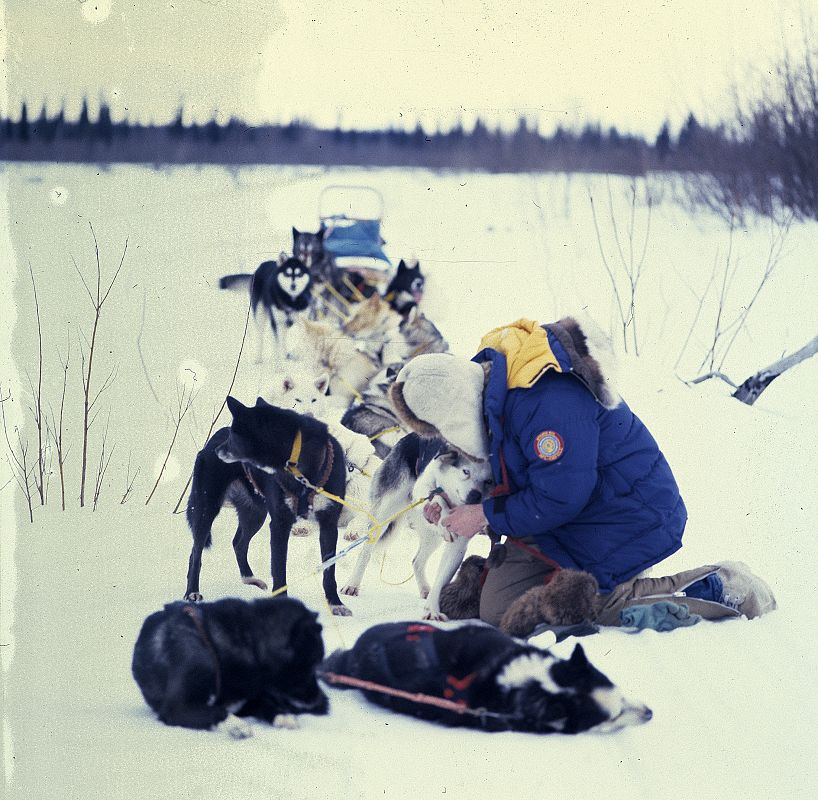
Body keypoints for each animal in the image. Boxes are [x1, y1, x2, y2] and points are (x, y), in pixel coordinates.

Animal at [131, 592, 328, 732]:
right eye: (312, 666)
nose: (322, 701)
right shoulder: (177, 707)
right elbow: (217, 711)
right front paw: (237, 725)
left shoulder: (246, 701)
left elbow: (267, 705)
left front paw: (283, 717)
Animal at [183, 396, 350, 616]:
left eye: (234, 436)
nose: (218, 451)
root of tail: (212, 440)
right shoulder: (280, 524)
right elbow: (279, 571)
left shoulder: (329, 524)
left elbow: (329, 571)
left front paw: (335, 604)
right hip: (206, 509)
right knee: (196, 552)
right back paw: (192, 592)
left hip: (256, 513)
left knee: (238, 543)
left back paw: (249, 579)